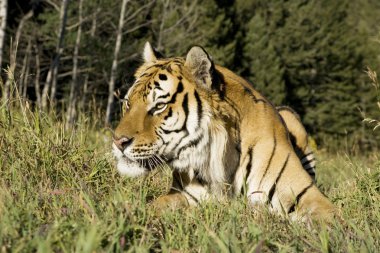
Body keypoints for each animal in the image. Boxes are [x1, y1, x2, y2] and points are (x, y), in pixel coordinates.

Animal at [112, 42, 336, 220]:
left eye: (159, 106)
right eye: (128, 103)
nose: (118, 142)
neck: (222, 158)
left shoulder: (309, 197)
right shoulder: (184, 195)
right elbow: (153, 206)